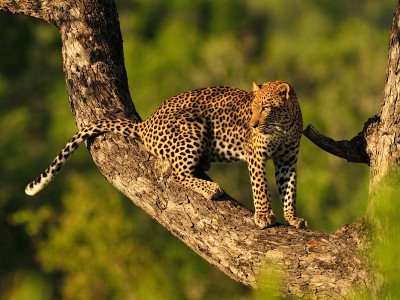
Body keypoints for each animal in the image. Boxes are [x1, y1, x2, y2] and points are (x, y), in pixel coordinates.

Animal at [24, 81, 306, 229]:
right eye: (253, 108)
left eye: (266, 107)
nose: (253, 124)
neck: (282, 125)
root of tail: (146, 123)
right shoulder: (256, 155)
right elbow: (261, 187)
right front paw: (264, 216)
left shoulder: (288, 160)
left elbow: (289, 189)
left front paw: (293, 218)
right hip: (192, 126)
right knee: (178, 174)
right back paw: (210, 189)